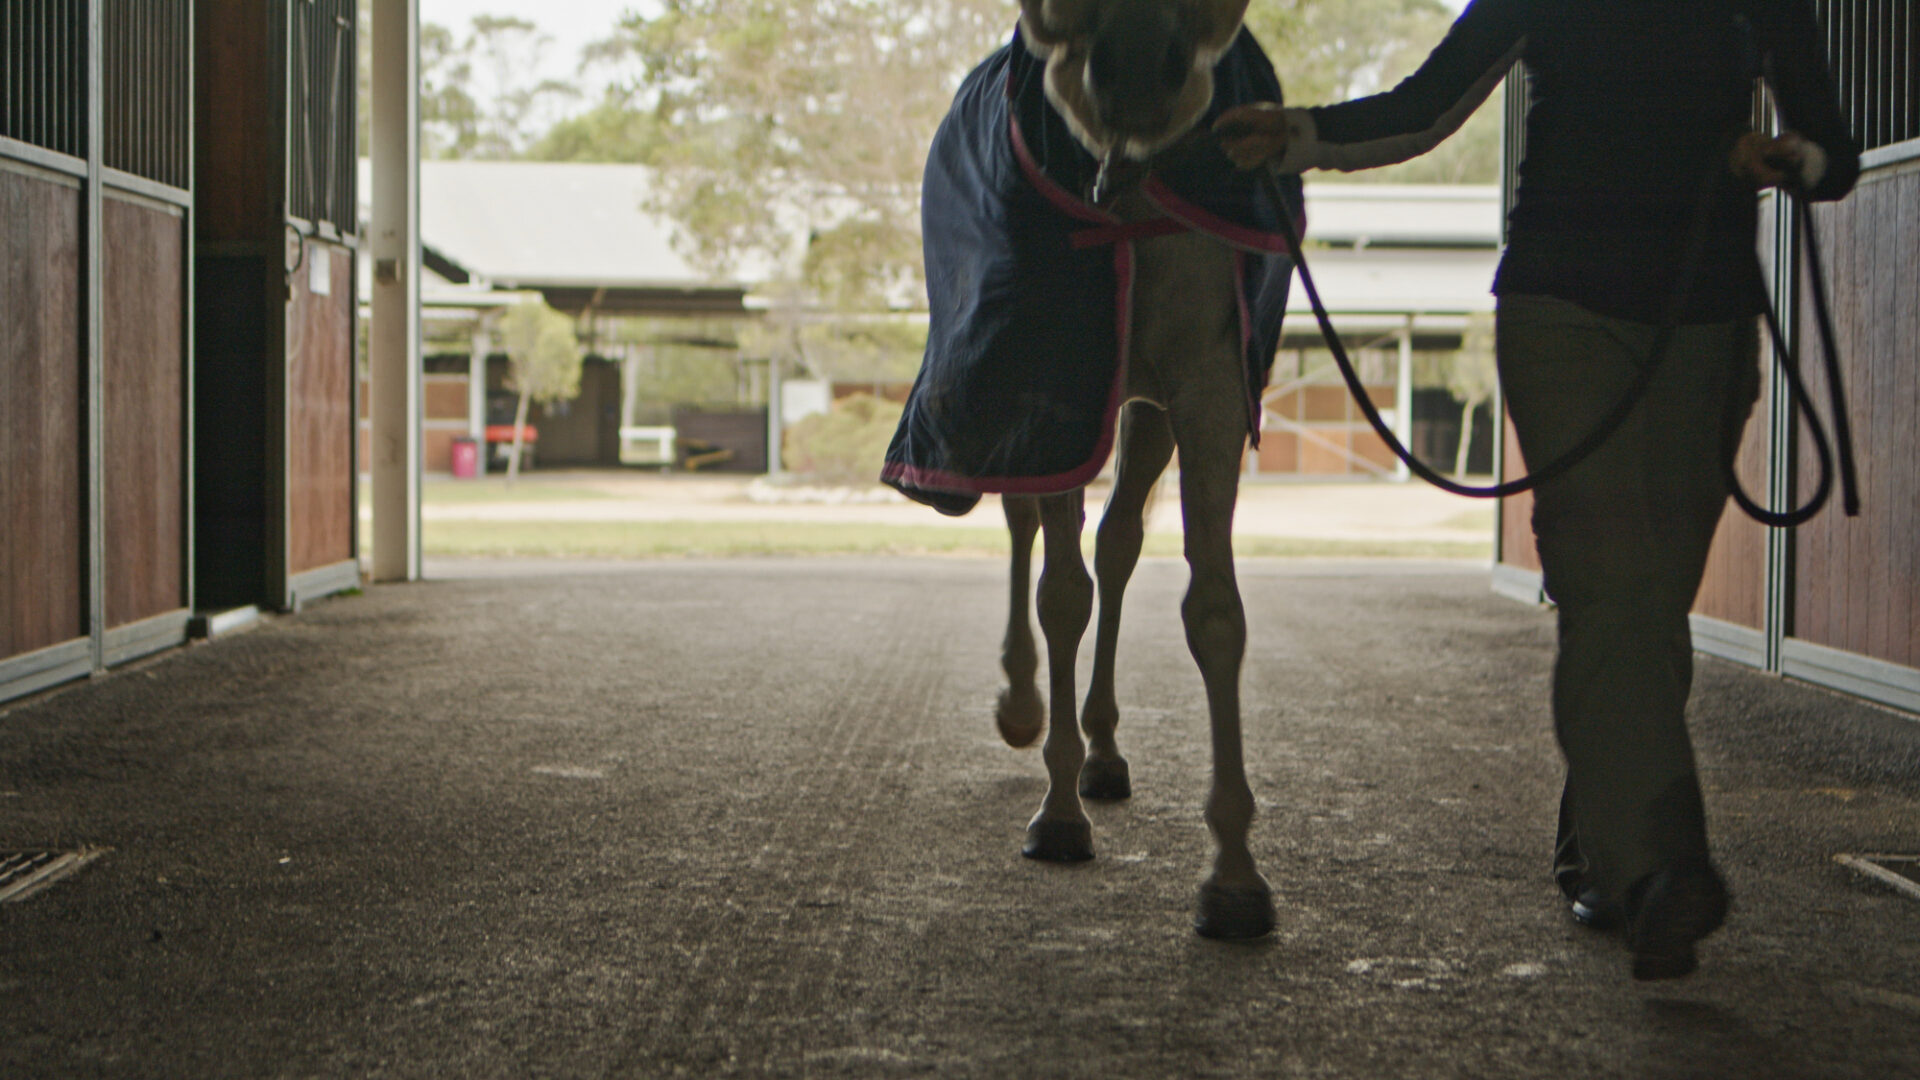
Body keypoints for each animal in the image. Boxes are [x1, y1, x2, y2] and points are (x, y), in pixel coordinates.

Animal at [882, 0, 1296, 940]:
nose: (1140, 68)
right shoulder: (1052, 381)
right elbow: (1060, 592)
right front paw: (1058, 812)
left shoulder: (1207, 389)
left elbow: (1212, 611)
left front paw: (1235, 876)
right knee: (1026, 527)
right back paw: (1025, 707)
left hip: (1141, 412)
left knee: (1119, 543)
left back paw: (1104, 748)